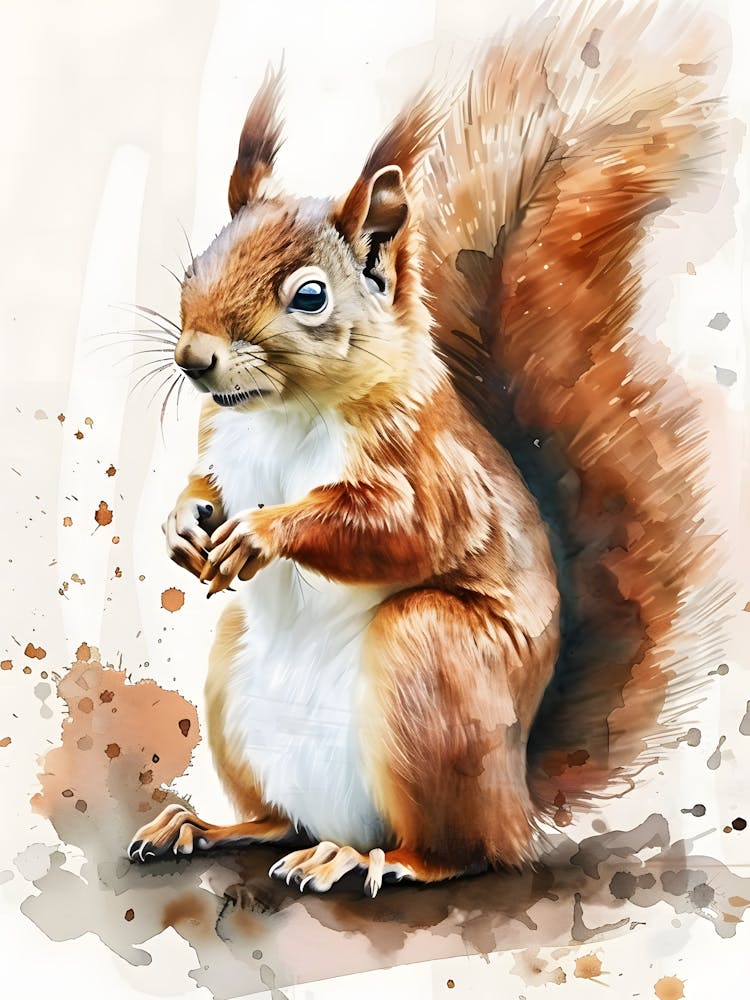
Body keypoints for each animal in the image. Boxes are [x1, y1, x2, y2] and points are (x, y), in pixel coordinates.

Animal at [128, 4, 727, 895]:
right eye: (196, 265)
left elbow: (402, 531)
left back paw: (367, 858)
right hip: (235, 679)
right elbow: (204, 482)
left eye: (310, 296)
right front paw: (182, 524)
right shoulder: (218, 438)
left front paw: (265, 531)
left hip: (433, 663)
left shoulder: (433, 470)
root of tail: (519, 798)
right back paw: (203, 826)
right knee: (278, 822)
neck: (284, 412)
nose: (193, 359)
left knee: (460, 853)